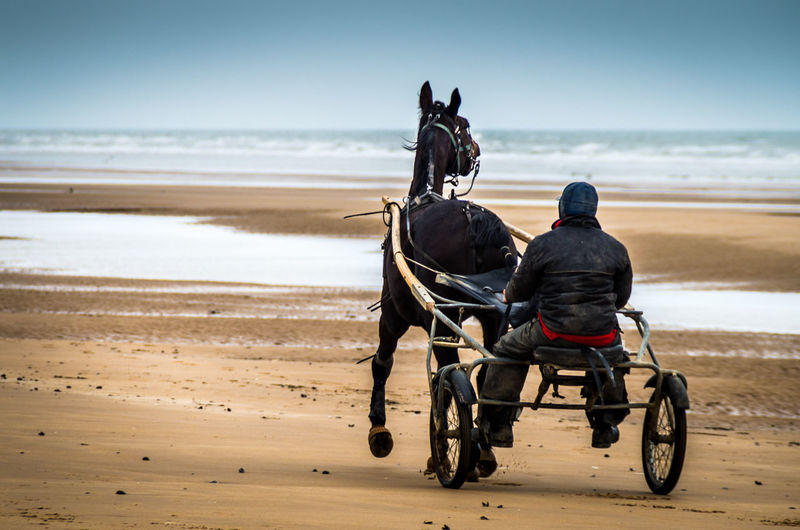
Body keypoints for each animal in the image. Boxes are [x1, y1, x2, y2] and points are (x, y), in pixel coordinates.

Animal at [367, 81, 518, 477]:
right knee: (485, 372)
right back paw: (485, 447)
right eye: (465, 126)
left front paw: (378, 429)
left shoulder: (394, 313)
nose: (477, 150)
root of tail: (473, 218)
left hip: (444, 318)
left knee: (448, 373)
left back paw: (446, 449)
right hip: (494, 314)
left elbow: (381, 363)